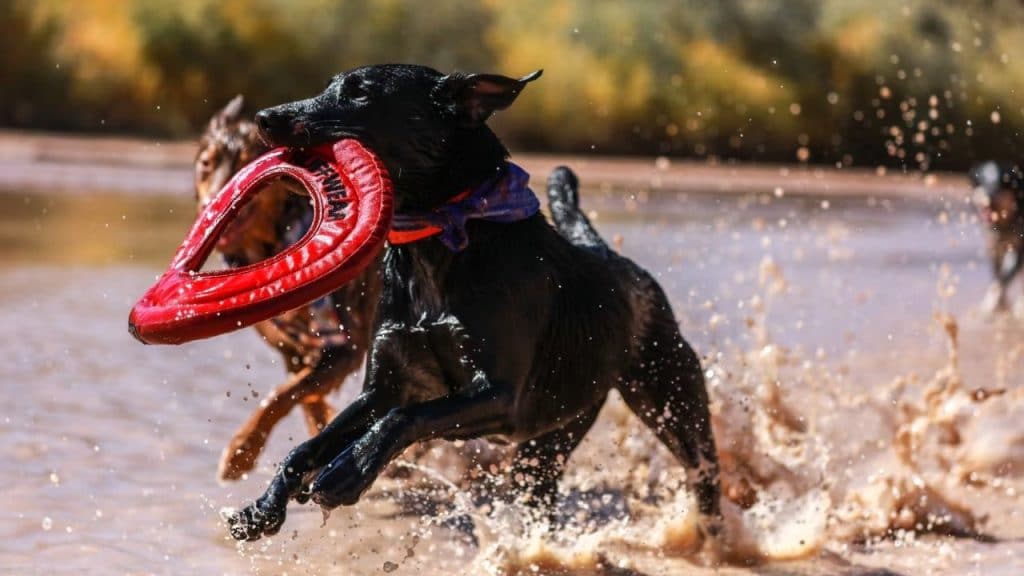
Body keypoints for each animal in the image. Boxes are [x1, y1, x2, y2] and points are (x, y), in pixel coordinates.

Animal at [194, 97, 380, 479]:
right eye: (207, 165)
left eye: (247, 162)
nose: (211, 207)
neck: (282, 237)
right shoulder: (291, 351)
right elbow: (305, 399)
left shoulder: (346, 346)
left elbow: (283, 395)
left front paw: (241, 451)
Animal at [228, 65, 720, 541]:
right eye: (331, 84)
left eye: (360, 92)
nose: (264, 118)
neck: (438, 241)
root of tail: (609, 255)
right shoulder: (383, 386)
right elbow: (308, 445)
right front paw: (262, 508)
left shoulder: (499, 397)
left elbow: (405, 418)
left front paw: (348, 472)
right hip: (553, 437)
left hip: (672, 401)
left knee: (703, 473)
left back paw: (713, 538)